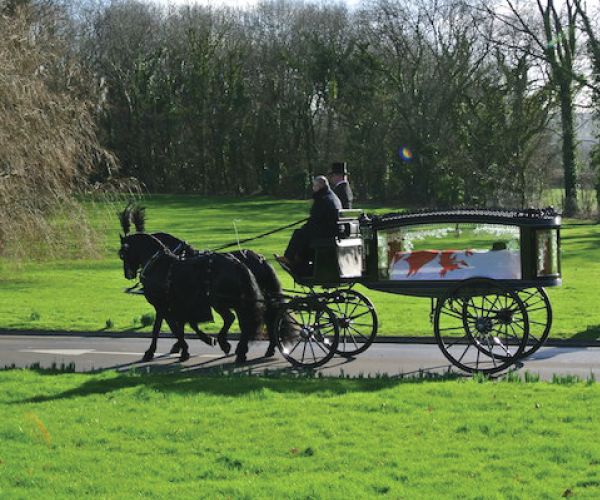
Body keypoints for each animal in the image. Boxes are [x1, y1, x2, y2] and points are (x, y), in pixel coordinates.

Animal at [119, 234, 264, 364]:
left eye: (122, 254)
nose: (127, 274)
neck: (157, 264)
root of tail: (236, 263)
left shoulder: (162, 305)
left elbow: (166, 327)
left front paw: (158, 351)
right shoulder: (174, 305)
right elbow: (177, 325)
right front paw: (191, 344)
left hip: (217, 301)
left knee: (230, 318)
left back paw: (224, 343)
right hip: (238, 302)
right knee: (244, 323)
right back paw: (240, 352)